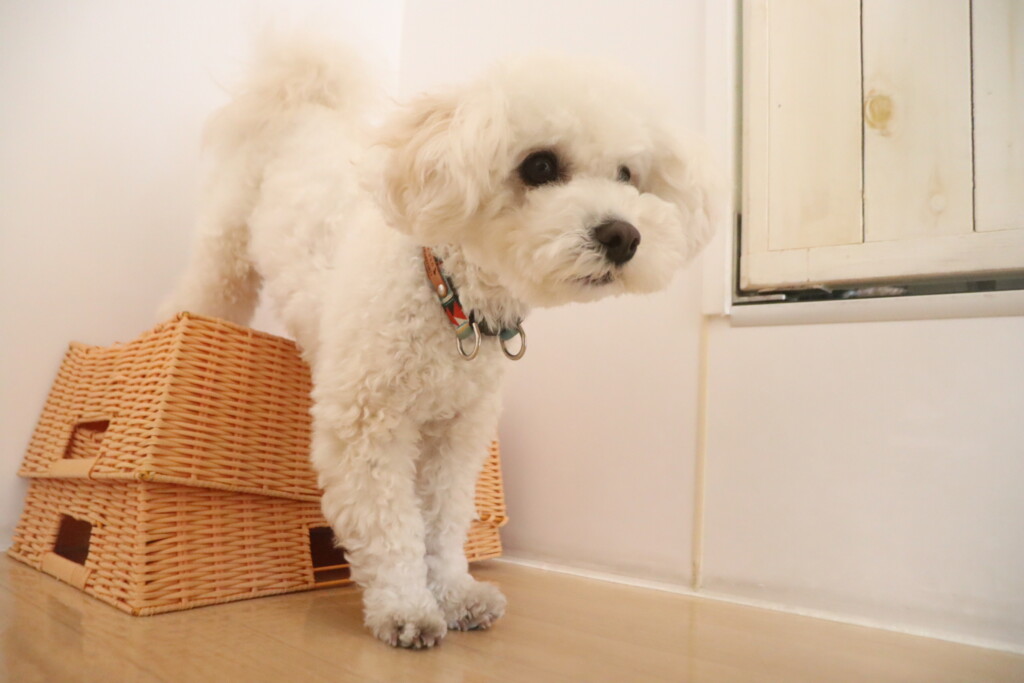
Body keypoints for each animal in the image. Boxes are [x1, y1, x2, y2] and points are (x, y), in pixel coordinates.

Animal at [164, 36, 715, 648]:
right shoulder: (368, 424)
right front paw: (406, 608)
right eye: (540, 165)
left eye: (627, 174)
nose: (623, 235)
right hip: (225, 250)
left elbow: (444, 520)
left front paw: (455, 595)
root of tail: (307, 102)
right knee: (199, 290)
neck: (450, 300)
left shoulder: (455, 434)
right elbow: (390, 524)